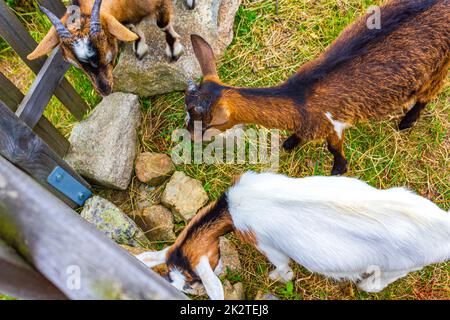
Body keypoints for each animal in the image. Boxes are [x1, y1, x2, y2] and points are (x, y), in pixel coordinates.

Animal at [28, 0, 190, 95]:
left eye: (107, 56)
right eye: (76, 65)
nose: (105, 91)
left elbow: (162, 24)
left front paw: (174, 51)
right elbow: (131, 27)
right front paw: (139, 46)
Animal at [184, 0, 450, 175]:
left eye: (206, 122)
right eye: (187, 109)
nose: (189, 137)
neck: (299, 98)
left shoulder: (332, 124)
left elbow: (335, 151)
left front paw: (338, 170)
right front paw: (290, 144)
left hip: (440, 63)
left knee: (429, 91)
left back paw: (407, 121)